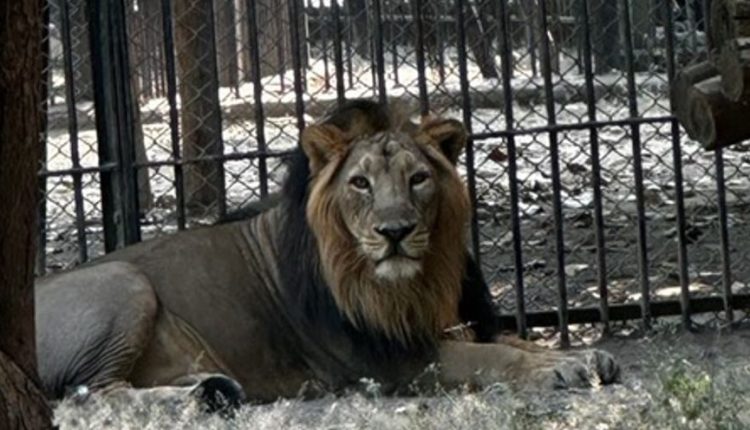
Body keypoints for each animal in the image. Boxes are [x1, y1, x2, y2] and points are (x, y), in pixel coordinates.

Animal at [35, 99, 619, 412]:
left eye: (418, 179)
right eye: (360, 183)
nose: (395, 231)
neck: (416, 283)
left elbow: (510, 340)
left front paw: (583, 357)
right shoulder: (387, 360)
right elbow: (491, 356)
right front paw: (558, 369)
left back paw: (212, 388)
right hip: (122, 278)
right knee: (90, 394)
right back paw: (197, 400)